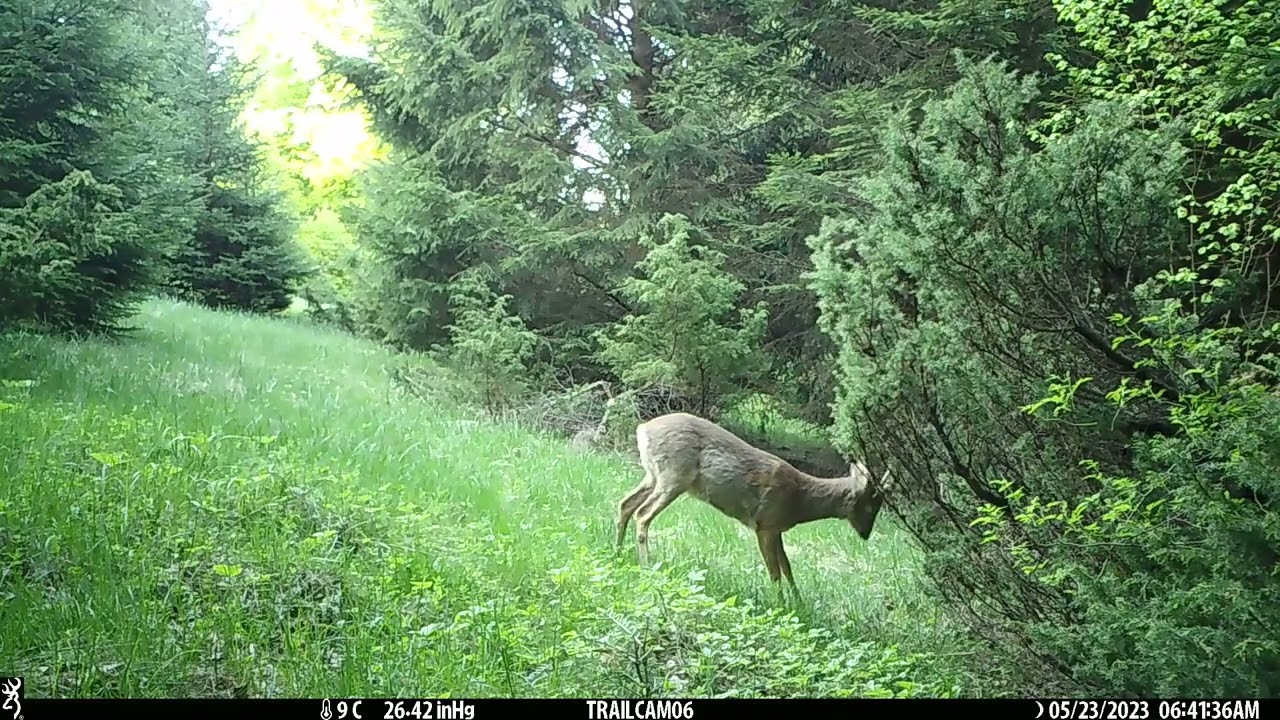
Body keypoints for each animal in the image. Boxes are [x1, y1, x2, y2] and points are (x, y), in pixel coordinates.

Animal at [614, 412, 894, 598]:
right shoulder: (765, 524)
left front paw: (798, 601)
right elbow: (775, 572)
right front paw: (780, 603)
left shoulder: (776, 528)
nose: (866, 534)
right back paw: (646, 564)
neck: (800, 500)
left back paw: (618, 553)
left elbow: (788, 567)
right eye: (871, 507)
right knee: (643, 514)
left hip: (653, 475)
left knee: (625, 504)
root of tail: (643, 429)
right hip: (674, 475)